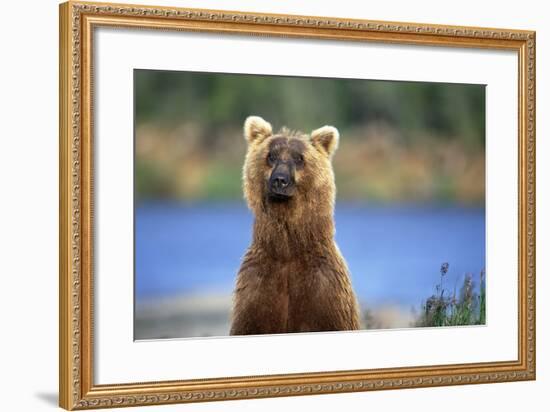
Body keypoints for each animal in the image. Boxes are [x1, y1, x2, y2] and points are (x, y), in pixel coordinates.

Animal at [230, 115, 362, 334]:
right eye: (271, 156)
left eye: (299, 158)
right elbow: (250, 322)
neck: (287, 251)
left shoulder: (324, 290)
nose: (280, 180)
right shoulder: (257, 288)